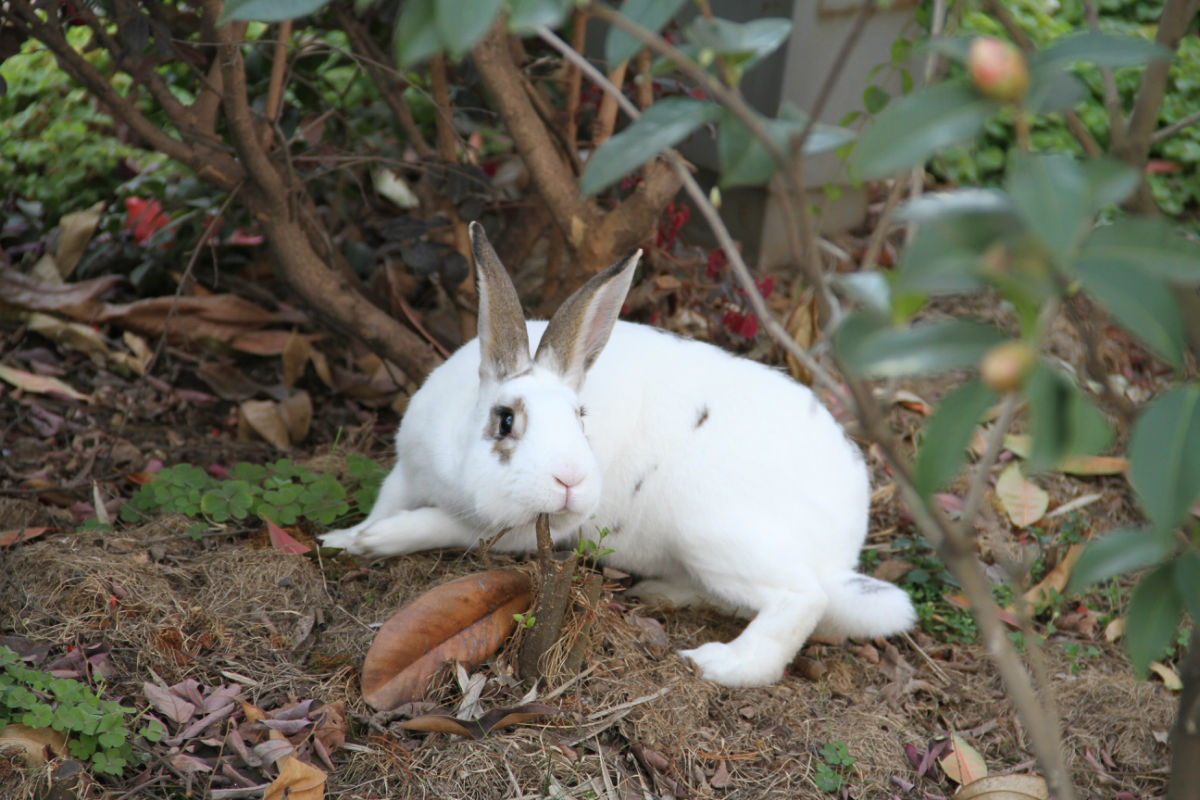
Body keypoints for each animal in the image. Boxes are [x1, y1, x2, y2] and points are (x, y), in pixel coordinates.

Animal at [324, 224, 912, 690]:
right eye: (505, 419)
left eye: (580, 415)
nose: (570, 480)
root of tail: (845, 548)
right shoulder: (407, 471)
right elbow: (386, 503)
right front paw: (345, 539)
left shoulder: (515, 533)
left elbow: (433, 525)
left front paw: (376, 541)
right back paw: (661, 593)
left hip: (713, 532)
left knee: (801, 597)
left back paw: (720, 664)